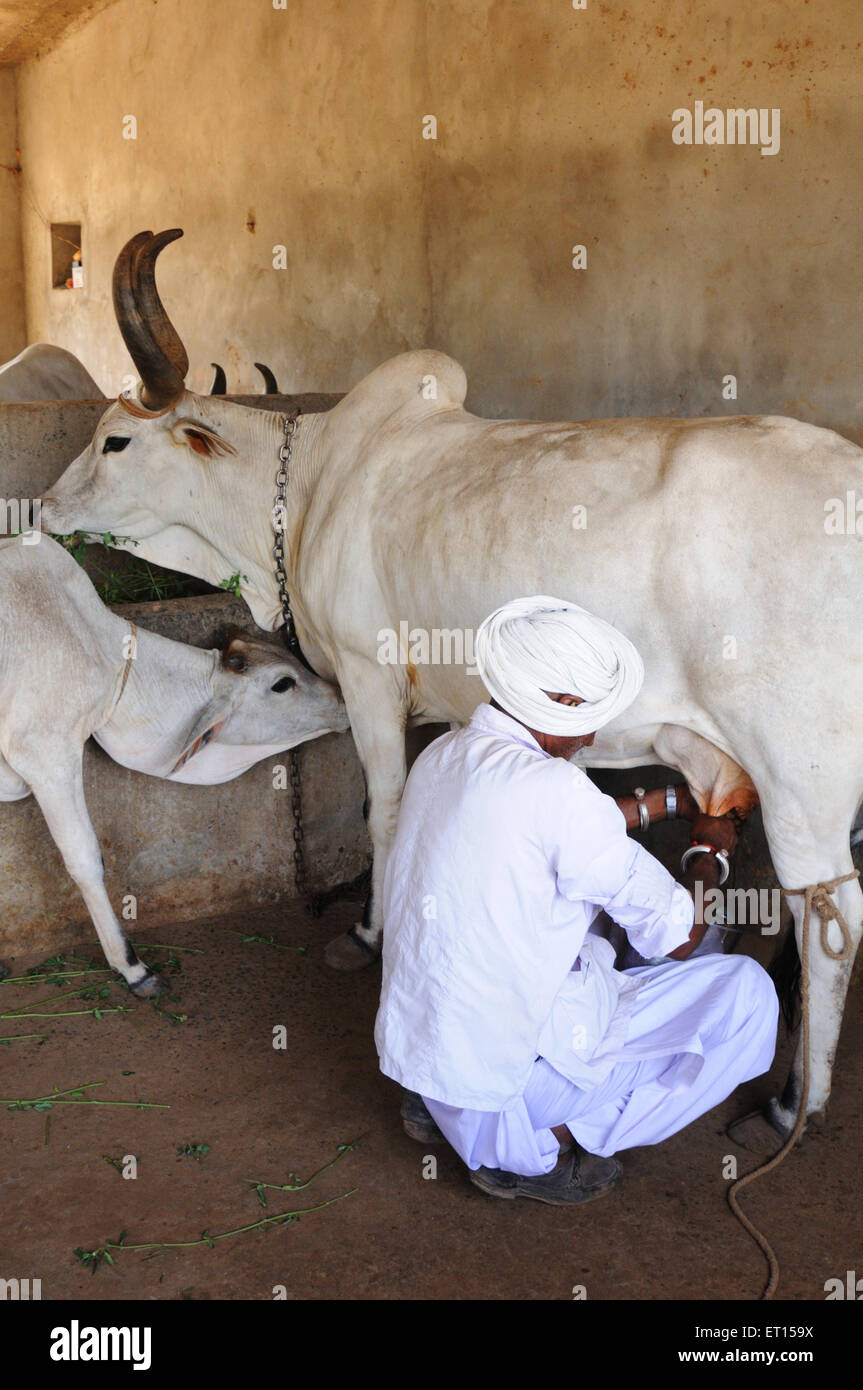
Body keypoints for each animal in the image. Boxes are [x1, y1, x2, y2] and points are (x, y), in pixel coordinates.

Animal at [42, 227, 863, 1140]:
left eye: (116, 440)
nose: (40, 508)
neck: (309, 488)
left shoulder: (367, 676)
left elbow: (386, 812)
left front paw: (372, 935)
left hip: (802, 779)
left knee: (829, 917)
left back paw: (795, 1102)